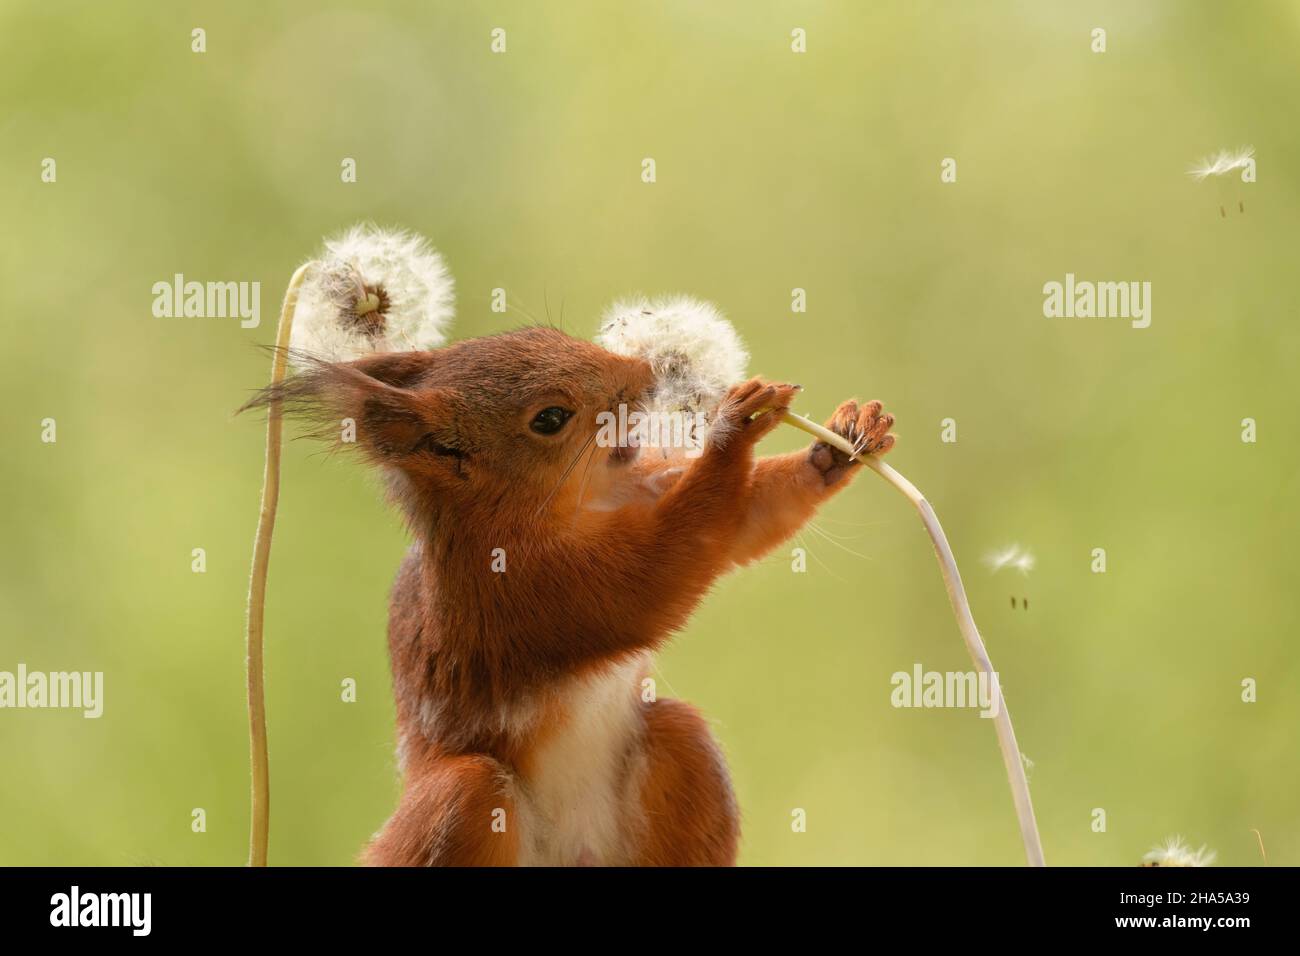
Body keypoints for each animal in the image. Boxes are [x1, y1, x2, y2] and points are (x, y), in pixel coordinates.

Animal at [246, 326, 895, 866]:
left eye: (548, 331)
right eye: (550, 418)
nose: (646, 372)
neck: (565, 505)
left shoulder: (643, 487)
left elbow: (743, 523)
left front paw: (837, 444)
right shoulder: (524, 586)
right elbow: (650, 580)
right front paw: (733, 428)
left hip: (680, 753)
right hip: (458, 799)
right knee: (469, 792)